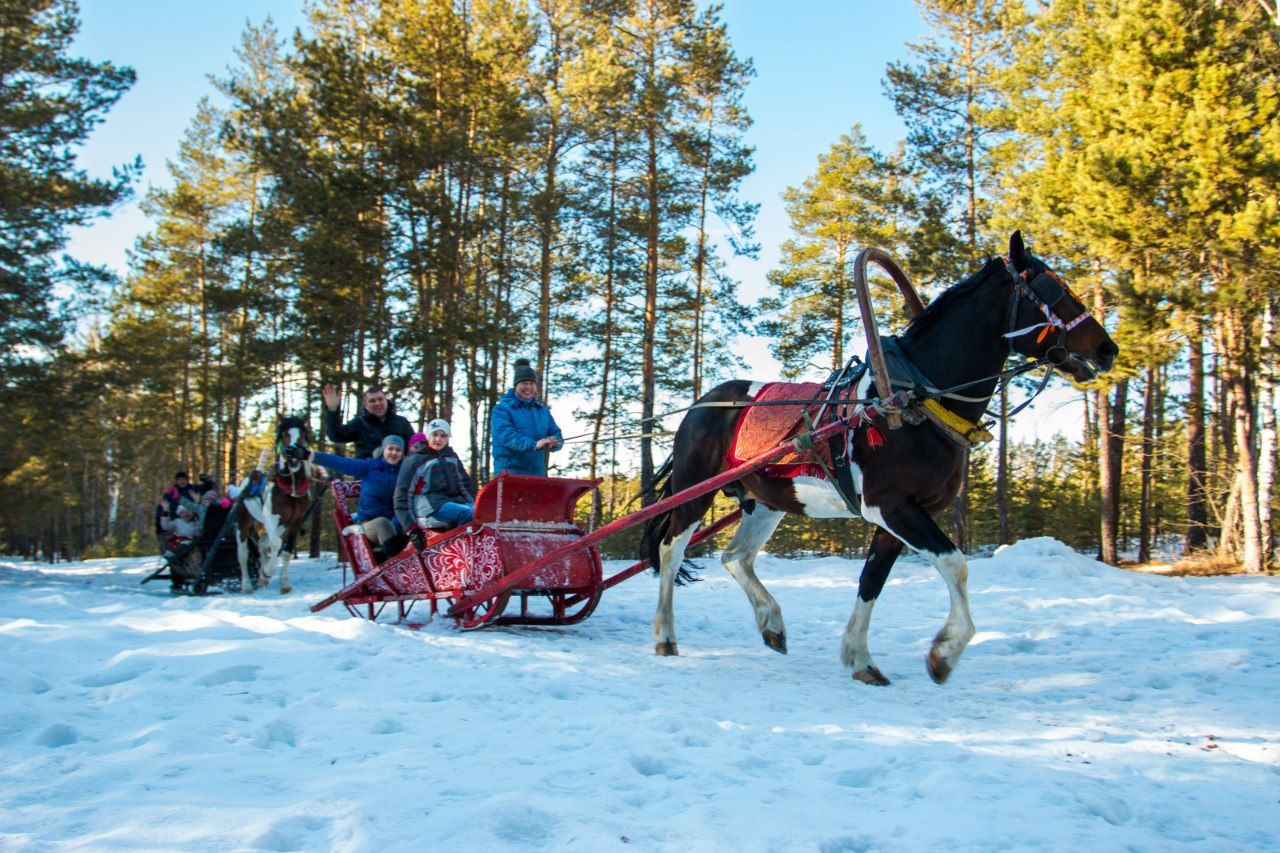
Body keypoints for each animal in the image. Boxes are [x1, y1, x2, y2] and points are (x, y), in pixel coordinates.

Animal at [236, 416, 315, 594]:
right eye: (285, 434)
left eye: (303, 435)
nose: (293, 458)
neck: (290, 488)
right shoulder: (271, 518)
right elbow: (276, 544)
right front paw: (267, 571)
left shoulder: (295, 522)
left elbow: (286, 550)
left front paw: (283, 583)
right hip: (243, 522)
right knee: (243, 553)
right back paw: (247, 585)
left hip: (279, 525)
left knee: (262, 544)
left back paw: (261, 578)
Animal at [640, 232, 1119, 685]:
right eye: (1054, 287)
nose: (1108, 349)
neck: (913, 398)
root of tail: (703, 402)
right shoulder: (890, 507)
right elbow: (956, 565)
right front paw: (945, 652)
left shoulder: (901, 516)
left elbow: (872, 581)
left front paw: (860, 658)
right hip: (693, 492)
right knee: (671, 551)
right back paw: (665, 635)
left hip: (765, 503)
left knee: (736, 557)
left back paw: (771, 623)